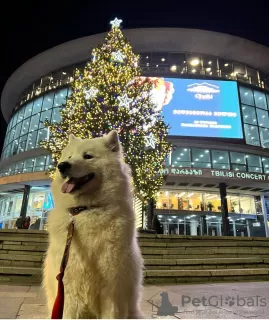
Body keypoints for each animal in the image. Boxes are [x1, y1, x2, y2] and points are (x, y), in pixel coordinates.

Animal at [43, 130, 143, 318]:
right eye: (69, 156)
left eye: (88, 156)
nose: (62, 166)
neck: (84, 210)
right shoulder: (69, 289)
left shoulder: (112, 289)